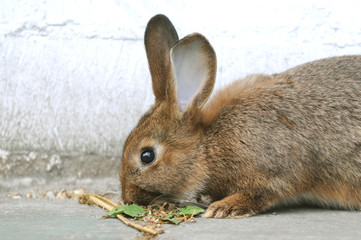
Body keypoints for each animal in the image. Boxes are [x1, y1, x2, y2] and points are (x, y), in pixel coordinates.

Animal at [119, 14, 360, 218]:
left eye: (147, 156)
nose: (128, 197)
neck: (207, 147)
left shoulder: (272, 171)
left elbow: (262, 193)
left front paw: (223, 208)